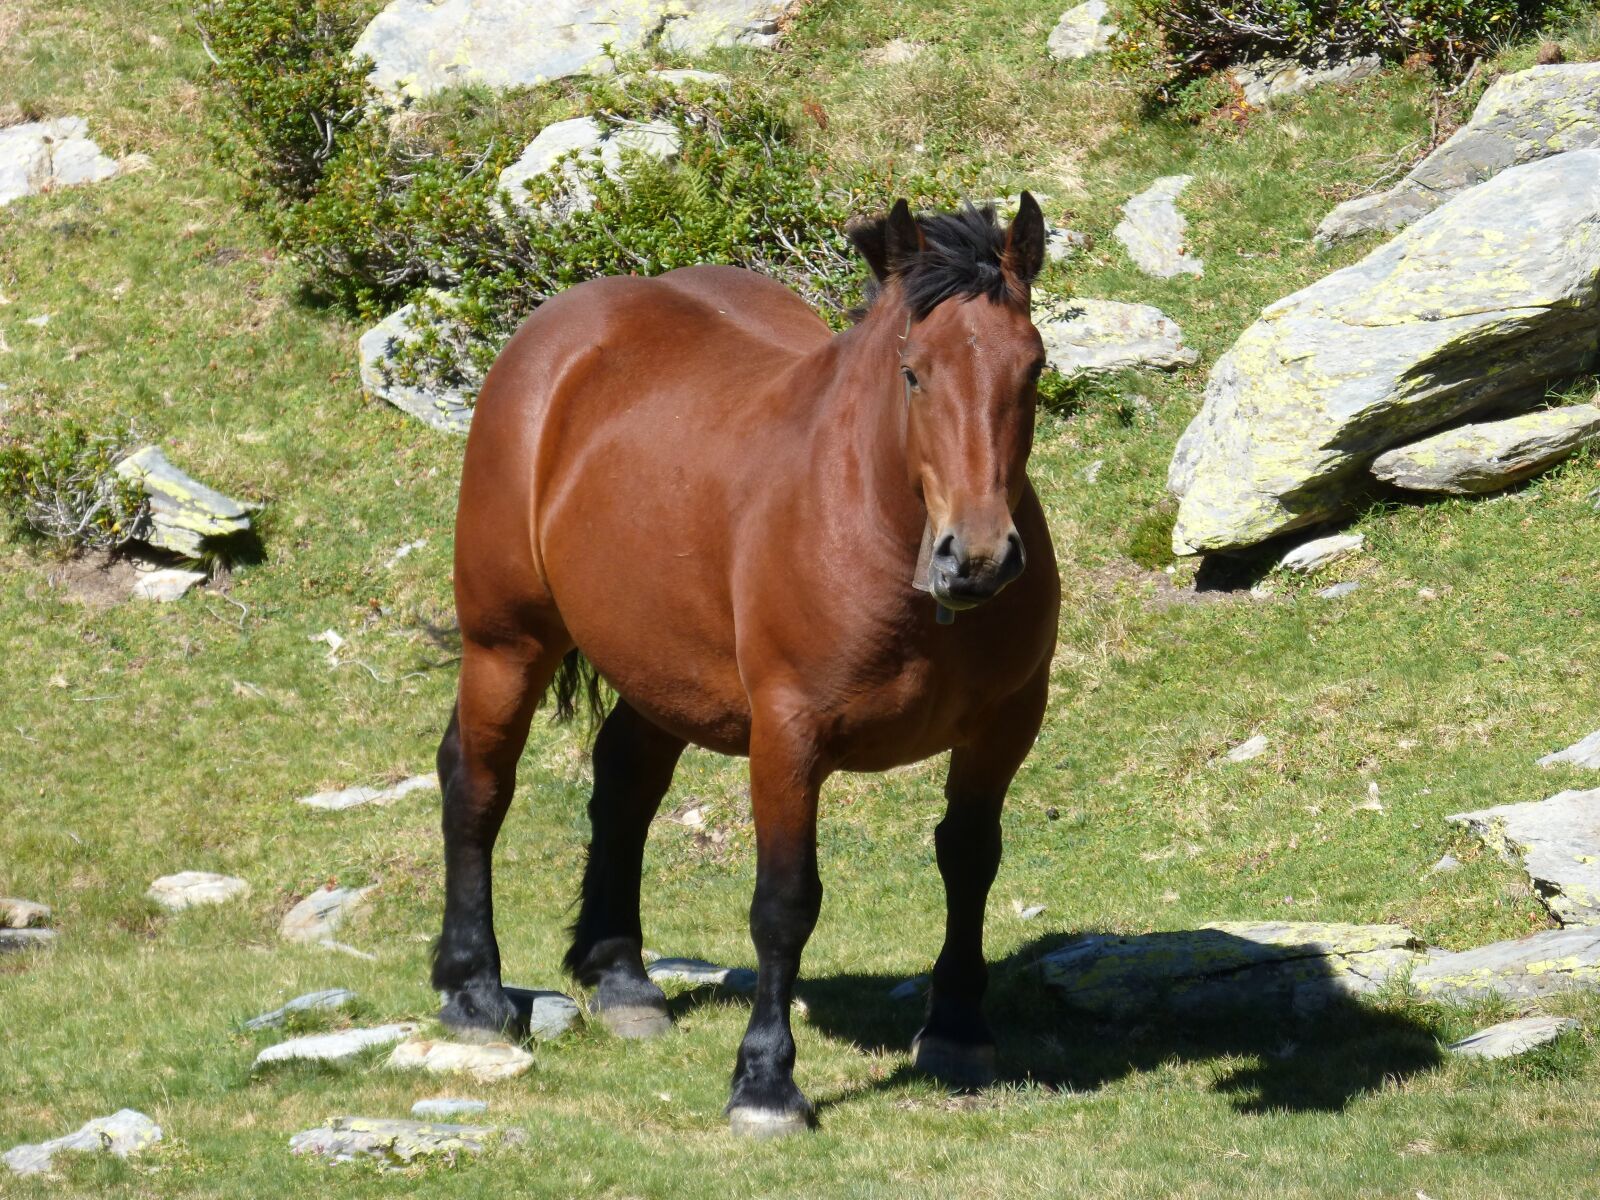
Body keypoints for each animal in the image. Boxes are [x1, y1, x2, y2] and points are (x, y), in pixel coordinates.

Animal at [431, 194, 1061, 1136]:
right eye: (914, 373)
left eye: (1032, 368)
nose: (977, 558)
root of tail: (557, 334)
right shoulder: (789, 734)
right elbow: (785, 904)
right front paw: (765, 1081)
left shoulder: (1003, 728)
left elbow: (969, 861)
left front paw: (957, 1028)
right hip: (506, 644)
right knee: (478, 781)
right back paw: (473, 990)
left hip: (658, 669)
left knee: (624, 783)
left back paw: (622, 977)